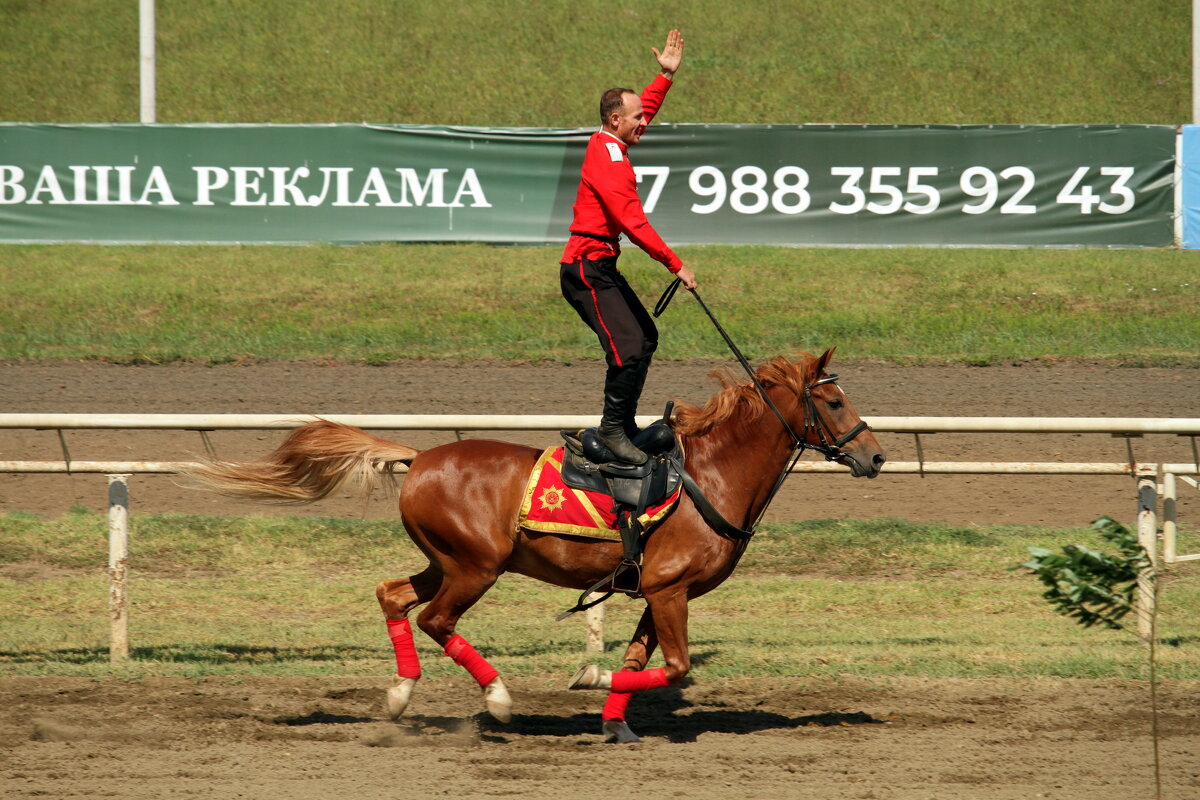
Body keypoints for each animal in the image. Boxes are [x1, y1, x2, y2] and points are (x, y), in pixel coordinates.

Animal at [187, 350, 883, 743]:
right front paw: (595, 685)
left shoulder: (658, 591)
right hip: (476, 567)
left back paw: (401, 693)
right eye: (833, 399)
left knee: (392, 595)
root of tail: (419, 458)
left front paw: (614, 717)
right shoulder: (670, 591)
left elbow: (641, 661)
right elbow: (675, 666)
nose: (875, 456)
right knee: (437, 621)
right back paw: (496, 699)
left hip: (445, 561)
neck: (707, 477)